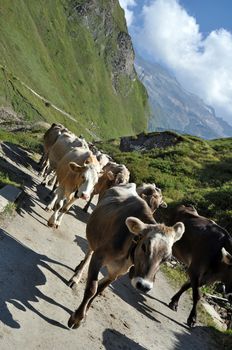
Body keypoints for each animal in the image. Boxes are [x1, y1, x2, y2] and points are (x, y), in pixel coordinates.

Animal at [67, 183, 185, 328]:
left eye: (167, 258)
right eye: (144, 246)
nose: (144, 286)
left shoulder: (117, 272)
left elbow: (99, 290)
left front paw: (85, 314)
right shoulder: (99, 257)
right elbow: (91, 288)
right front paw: (76, 318)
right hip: (94, 239)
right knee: (89, 253)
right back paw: (76, 276)